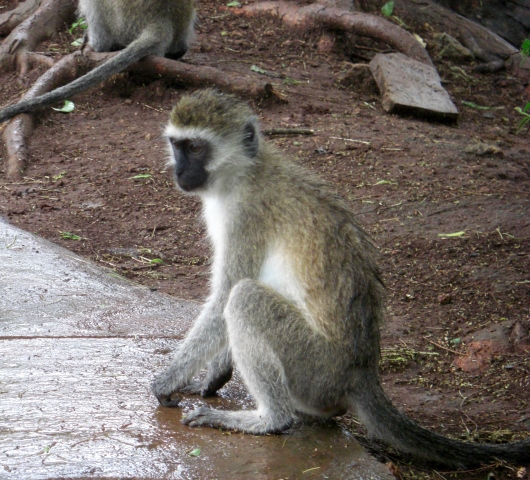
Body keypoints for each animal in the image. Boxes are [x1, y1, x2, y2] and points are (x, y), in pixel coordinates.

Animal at [151, 89, 530, 468]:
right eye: (176, 145)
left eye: (196, 148)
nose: (179, 170)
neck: (245, 172)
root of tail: (361, 372)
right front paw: (214, 372)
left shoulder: (247, 215)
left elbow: (225, 296)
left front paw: (168, 380)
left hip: (317, 369)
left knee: (246, 298)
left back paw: (268, 420)